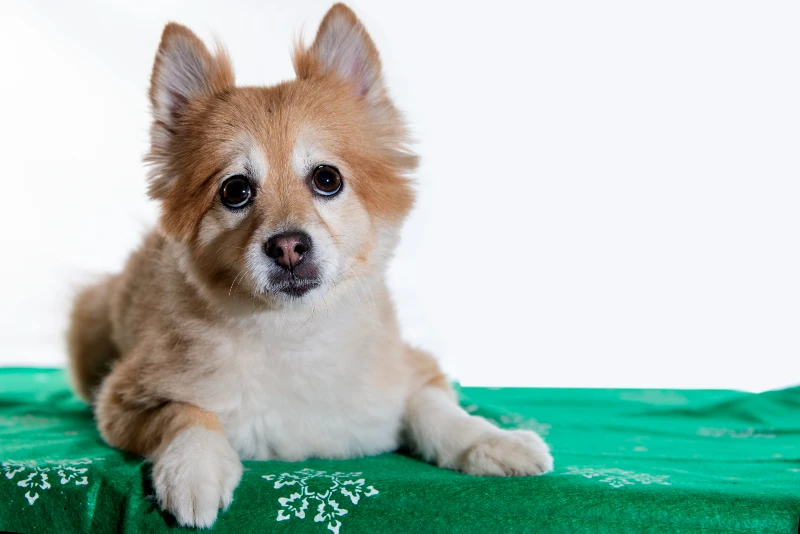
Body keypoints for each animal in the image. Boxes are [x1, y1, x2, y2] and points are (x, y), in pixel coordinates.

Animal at [65, 4, 552, 528]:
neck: (295, 333)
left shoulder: (412, 367)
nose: (288, 247)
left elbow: (436, 407)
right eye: (235, 190)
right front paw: (192, 469)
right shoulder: (121, 398)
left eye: (327, 179)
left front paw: (492, 440)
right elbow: (183, 413)